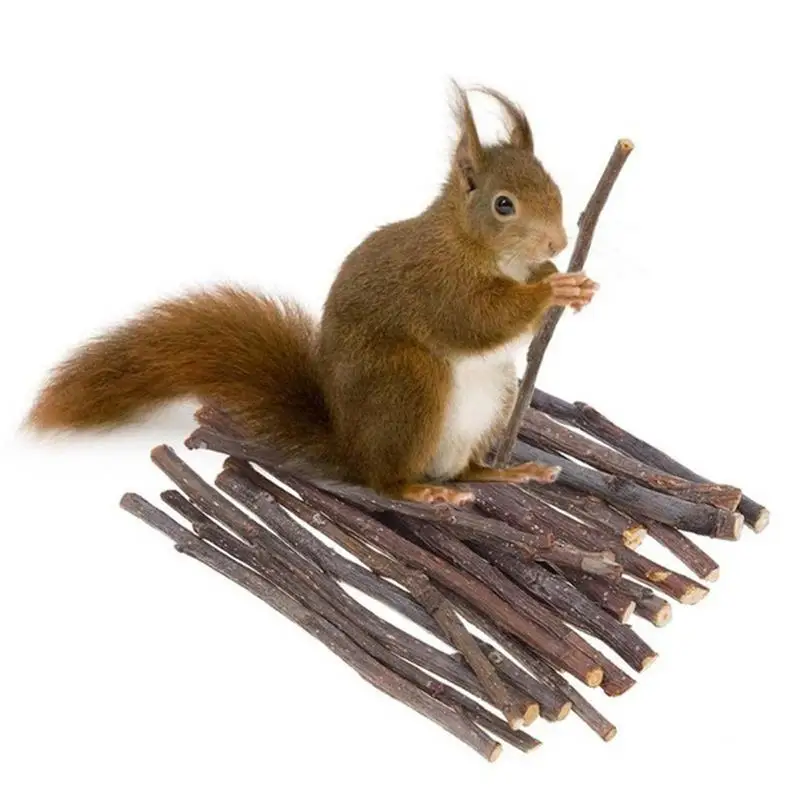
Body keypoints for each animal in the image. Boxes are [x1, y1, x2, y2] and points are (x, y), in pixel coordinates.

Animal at [26, 85, 598, 505]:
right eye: (504, 205)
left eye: (553, 185)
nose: (558, 241)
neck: (474, 243)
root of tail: (350, 448)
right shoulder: (437, 283)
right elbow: (478, 319)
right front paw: (552, 288)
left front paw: (570, 280)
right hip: (407, 384)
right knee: (386, 480)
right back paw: (419, 491)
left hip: (493, 399)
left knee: (465, 470)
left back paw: (505, 473)